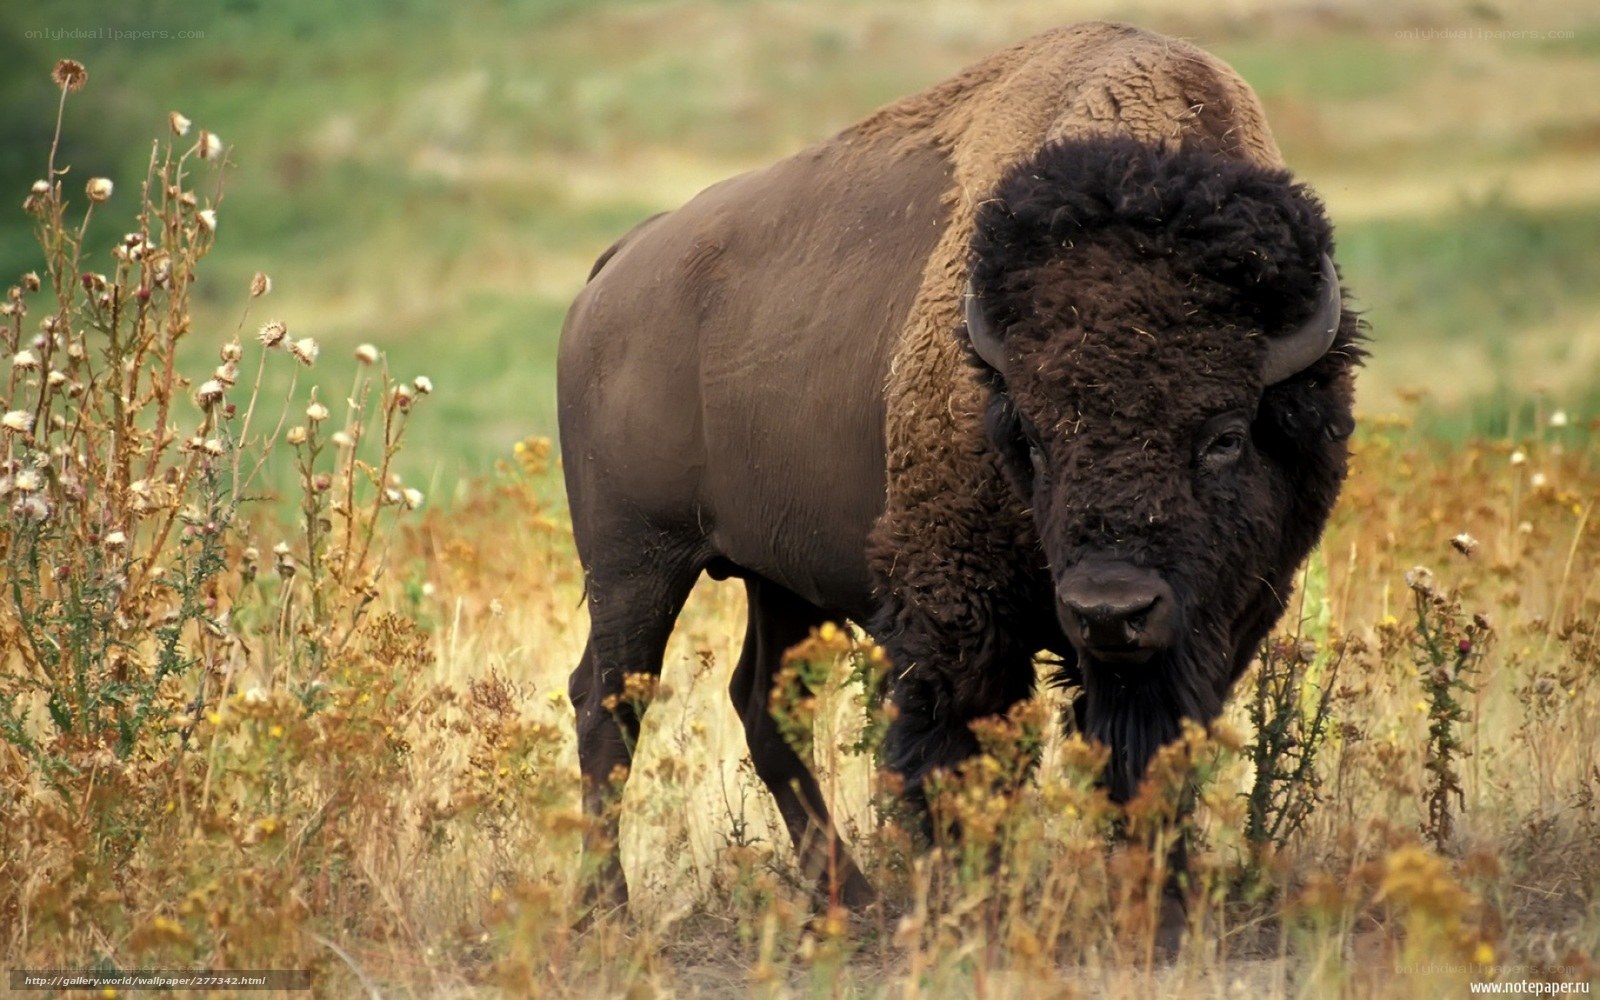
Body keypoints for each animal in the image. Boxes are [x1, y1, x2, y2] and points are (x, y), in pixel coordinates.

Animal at [557, 21, 1361, 917]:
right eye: (1033, 438)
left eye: (1224, 435)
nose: (1110, 610)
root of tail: (619, 265)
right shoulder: (958, 609)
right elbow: (961, 753)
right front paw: (975, 897)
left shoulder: (1219, 622)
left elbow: (1152, 756)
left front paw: (1161, 900)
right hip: (636, 562)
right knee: (608, 701)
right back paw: (609, 909)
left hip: (778, 578)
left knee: (762, 704)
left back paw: (851, 898)